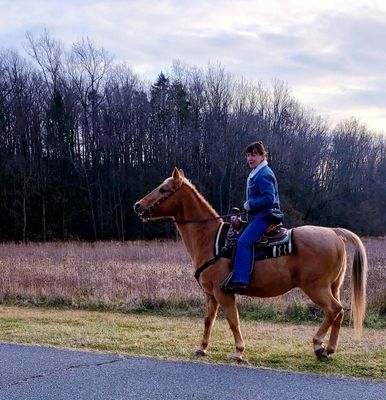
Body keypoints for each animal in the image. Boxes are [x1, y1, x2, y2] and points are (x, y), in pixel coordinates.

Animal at [133, 167, 368, 360]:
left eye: (163, 189)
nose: (138, 205)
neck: (209, 238)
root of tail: (334, 233)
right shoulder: (210, 294)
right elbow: (208, 320)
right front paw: (202, 348)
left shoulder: (223, 293)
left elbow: (232, 319)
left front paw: (238, 351)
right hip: (333, 287)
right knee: (339, 313)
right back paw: (329, 349)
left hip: (316, 288)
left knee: (333, 309)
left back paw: (318, 346)